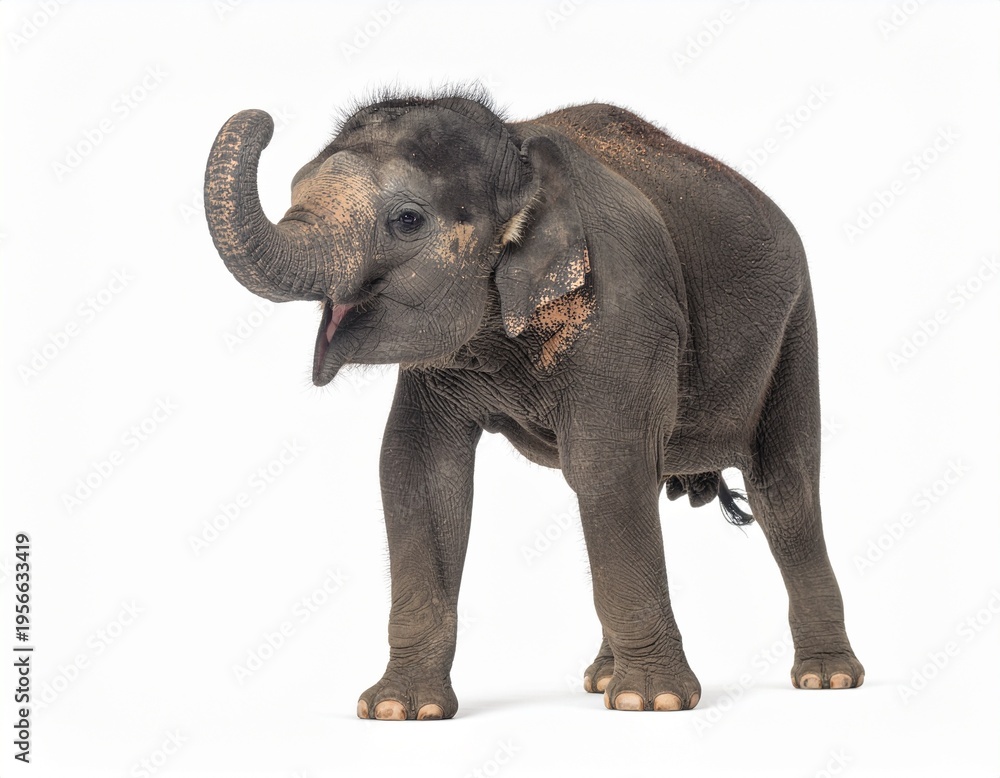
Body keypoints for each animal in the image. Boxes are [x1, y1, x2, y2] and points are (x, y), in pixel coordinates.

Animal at [204, 89, 864, 720]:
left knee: (784, 492)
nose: (262, 116)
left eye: (407, 220)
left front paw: (652, 703)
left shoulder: (626, 310)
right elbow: (417, 469)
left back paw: (825, 680)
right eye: (294, 187)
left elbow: (604, 467)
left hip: (794, 329)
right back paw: (601, 679)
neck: (520, 152)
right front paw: (397, 710)